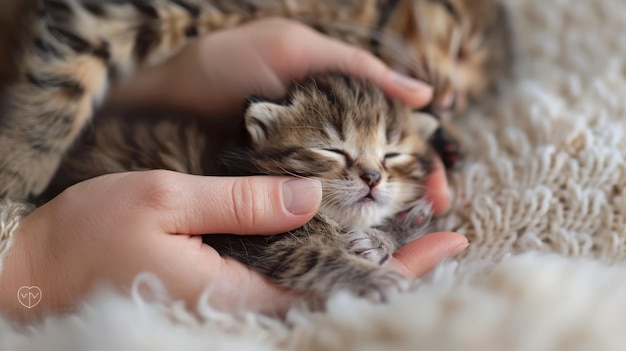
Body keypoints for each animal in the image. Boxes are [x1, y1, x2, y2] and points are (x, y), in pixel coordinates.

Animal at [0, 0, 512, 202]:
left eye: (473, 97)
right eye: (462, 45)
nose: (453, 100)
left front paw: (446, 140)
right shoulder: (114, 10)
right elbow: (66, 75)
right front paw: (18, 167)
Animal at [45, 72, 438, 302]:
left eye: (393, 154)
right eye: (332, 150)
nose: (372, 177)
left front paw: (385, 236)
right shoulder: (255, 241)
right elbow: (310, 257)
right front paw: (375, 279)